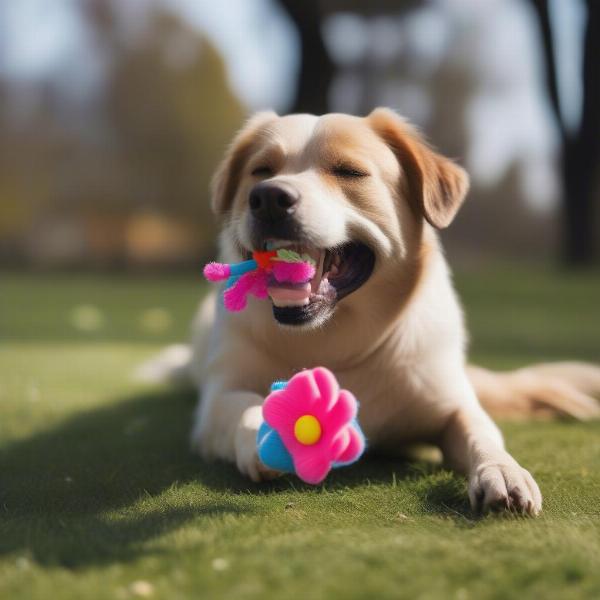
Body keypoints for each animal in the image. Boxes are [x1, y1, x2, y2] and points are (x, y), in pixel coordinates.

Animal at [148, 108, 596, 516]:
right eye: (261, 171)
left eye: (348, 171)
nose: (269, 198)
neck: (336, 343)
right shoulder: (218, 400)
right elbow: (243, 405)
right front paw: (267, 431)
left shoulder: (451, 402)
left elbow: (480, 432)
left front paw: (502, 470)